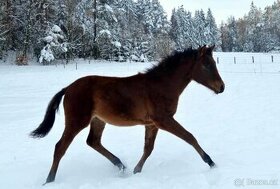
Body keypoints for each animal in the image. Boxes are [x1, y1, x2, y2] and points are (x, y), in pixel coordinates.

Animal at [29, 45, 224, 184]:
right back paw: (49, 180)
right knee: (60, 147)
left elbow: (148, 148)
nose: (221, 87)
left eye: (214, 63)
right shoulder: (163, 120)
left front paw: (136, 171)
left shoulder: (152, 124)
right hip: (77, 121)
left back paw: (121, 165)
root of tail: (68, 88)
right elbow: (189, 137)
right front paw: (211, 162)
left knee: (93, 141)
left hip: (98, 120)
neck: (161, 85)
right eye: (206, 65)